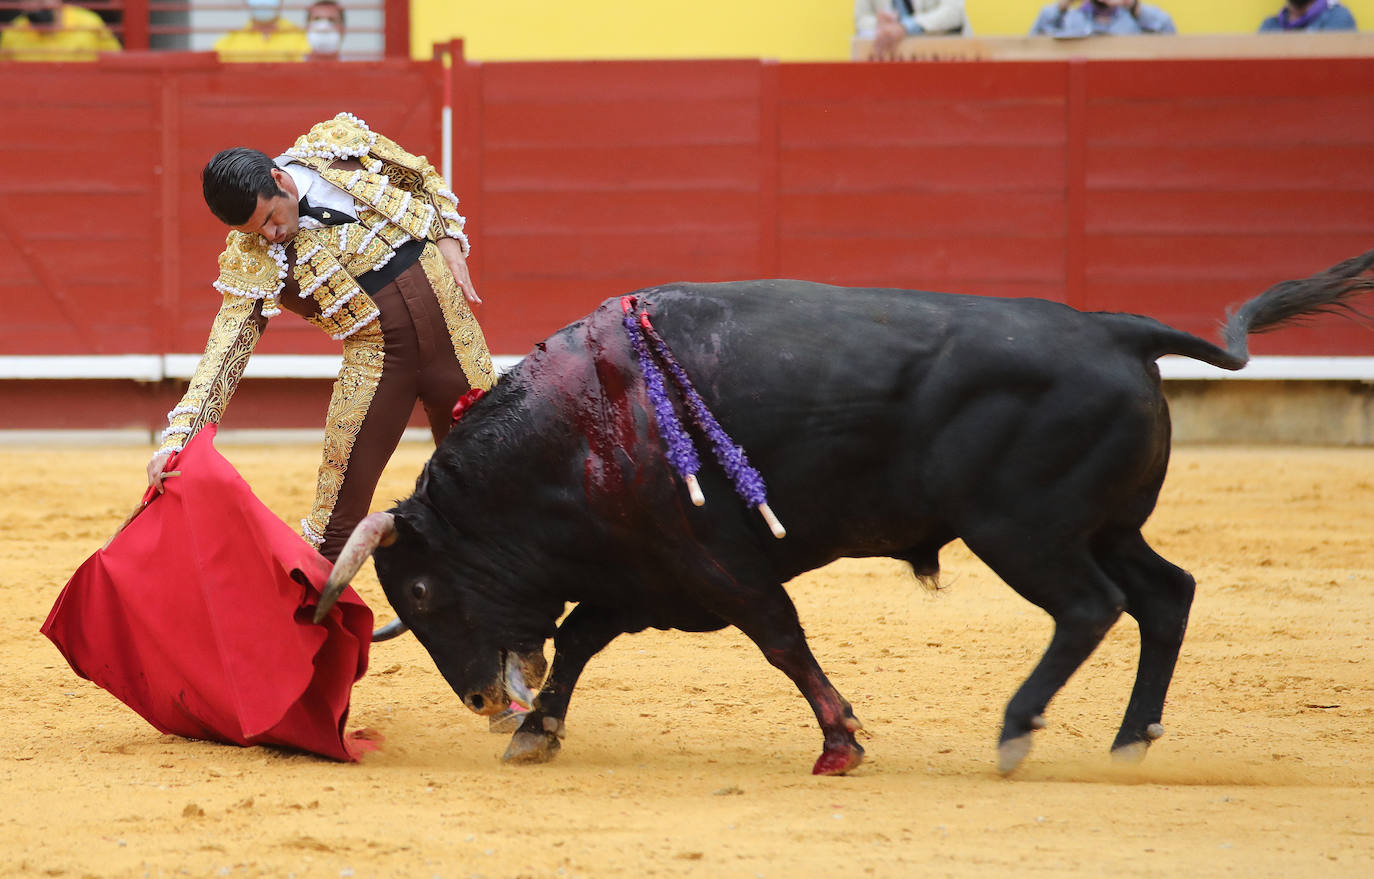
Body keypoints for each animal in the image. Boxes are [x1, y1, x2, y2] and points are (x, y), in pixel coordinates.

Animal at [314, 248, 1374, 774]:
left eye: (419, 589)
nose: (479, 699)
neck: (582, 427)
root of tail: (1117, 330)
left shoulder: (715, 564)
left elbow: (782, 640)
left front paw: (841, 743)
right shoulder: (645, 574)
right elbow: (578, 640)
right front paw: (537, 732)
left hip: (1024, 534)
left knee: (1091, 607)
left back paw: (1018, 729)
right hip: (1105, 524)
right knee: (1165, 592)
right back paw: (1127, 741)